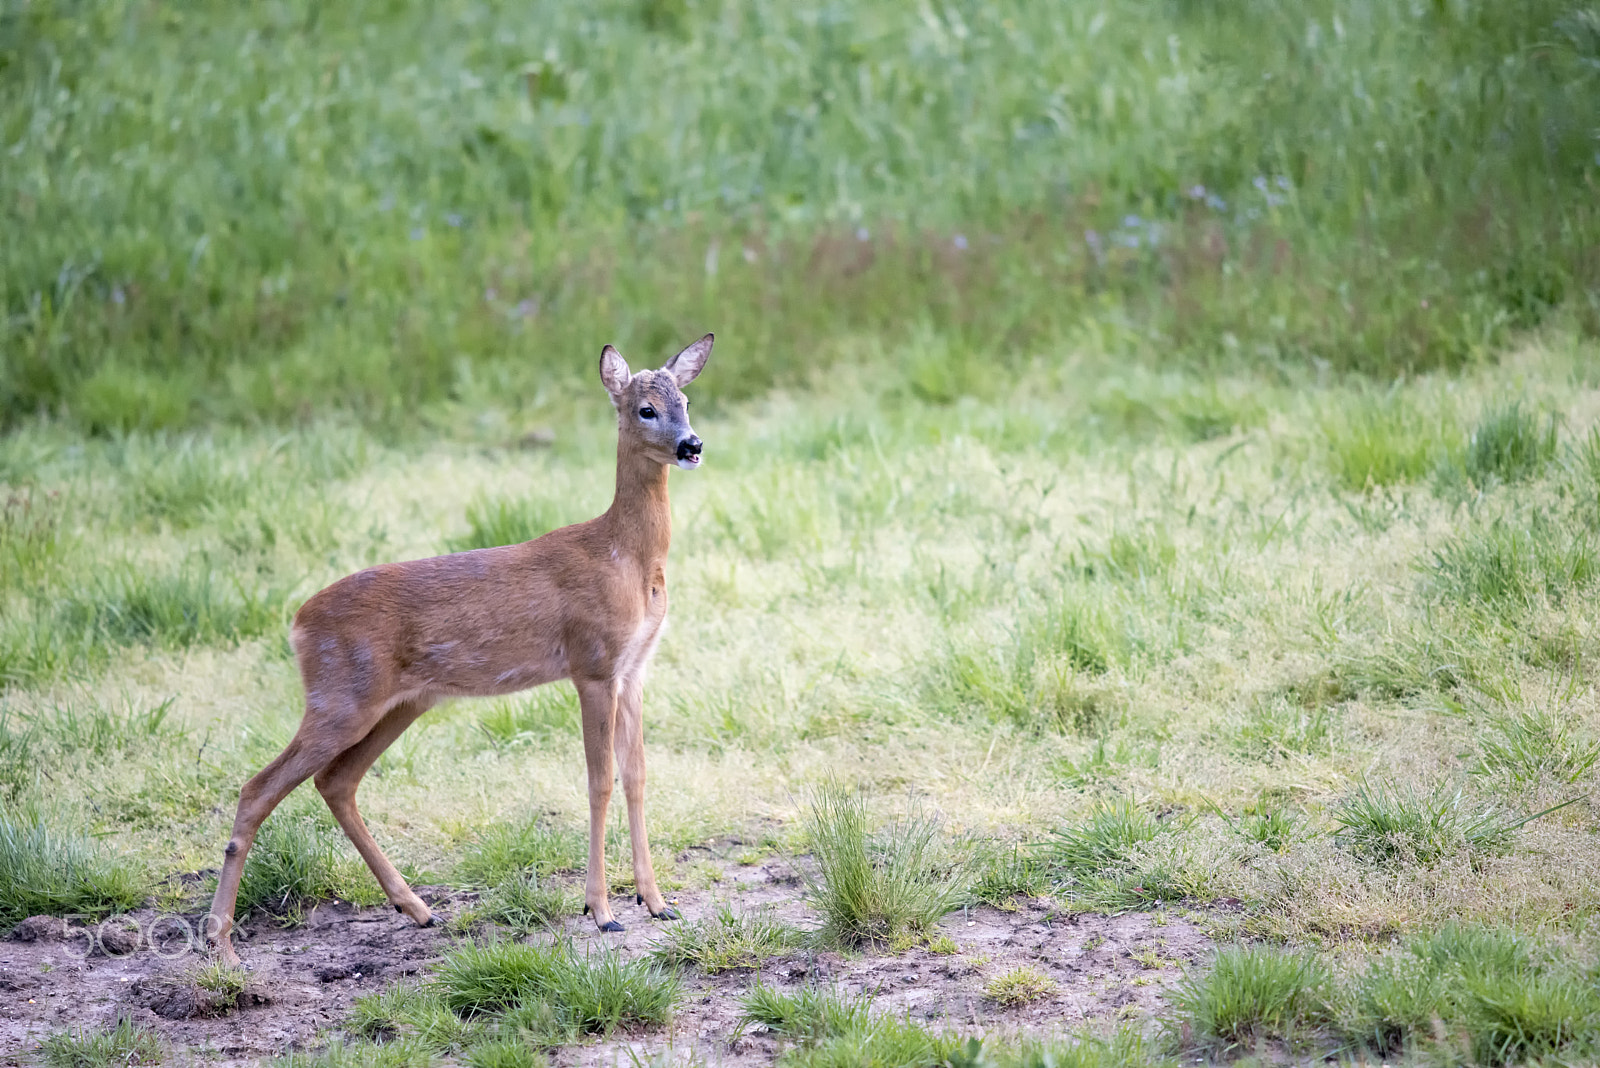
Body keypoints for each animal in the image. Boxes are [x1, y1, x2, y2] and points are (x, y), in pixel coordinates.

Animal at [204, 335, 713, 965]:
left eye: (685, 401)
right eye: (645, 408)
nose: (692, 445)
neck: (628, 559)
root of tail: (297, 623)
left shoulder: (634, 668)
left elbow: (637, 775)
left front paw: (656, 901)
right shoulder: (591, 664)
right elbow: (600, 782)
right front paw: (601, 912)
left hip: (400, 702)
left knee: (336, 782)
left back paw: (417, 908)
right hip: (339, 697)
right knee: (258, 788)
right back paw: (221, 943)